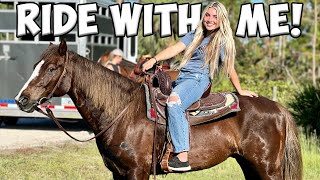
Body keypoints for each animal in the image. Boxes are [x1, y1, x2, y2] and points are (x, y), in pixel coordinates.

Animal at [15, 41, 302, 180]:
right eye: (36, 65)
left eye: (52, 68)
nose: (22, 99)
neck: (122, 112)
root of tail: (279, 109)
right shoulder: (118, 173)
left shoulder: (137, 172)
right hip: (250, 165)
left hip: (268, 168)